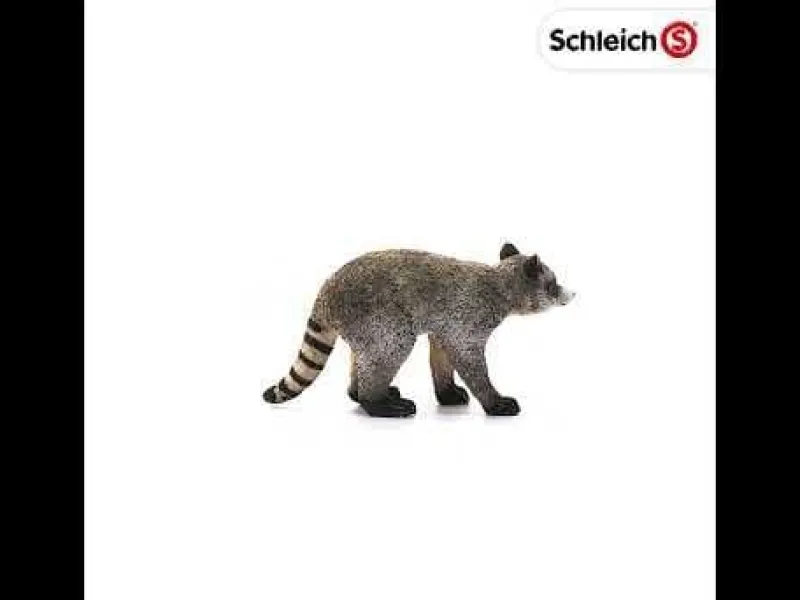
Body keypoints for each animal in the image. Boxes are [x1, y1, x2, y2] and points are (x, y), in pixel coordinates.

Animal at [262, 243, 575, 417]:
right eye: (553, 284)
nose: (570, 294)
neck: (501, 283)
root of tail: (325, 294)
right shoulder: (469, 316)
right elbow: (466, 357)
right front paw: (492, 400)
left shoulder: (447, 322)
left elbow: (441, 349)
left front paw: (446, 390)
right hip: (375, 312)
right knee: (392, 345)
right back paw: (373, 400)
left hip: (360, 321)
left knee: (367, 353)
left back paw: (358, 392)